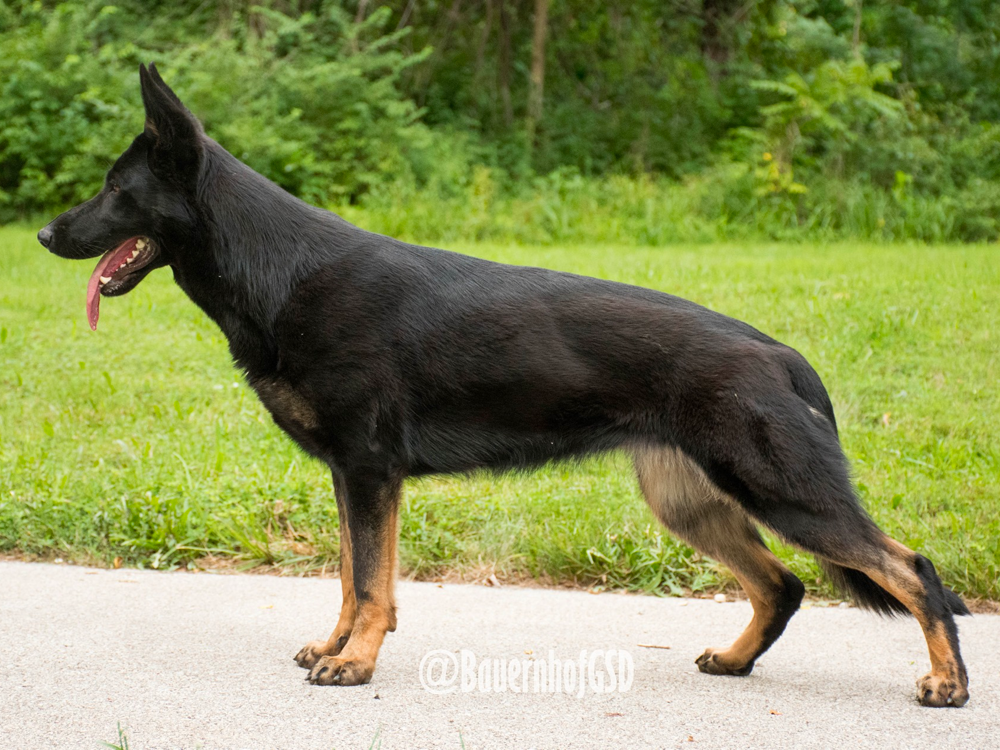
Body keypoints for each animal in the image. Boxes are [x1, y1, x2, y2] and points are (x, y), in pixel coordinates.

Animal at [39, 63, 968, 704]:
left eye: (114, 190)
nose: (46, 234)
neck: (278, 271)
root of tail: (776, 352)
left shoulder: (370, 472)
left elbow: (369, 580)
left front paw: (356, 663)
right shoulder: (352, 477)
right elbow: (352, 575)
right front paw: (338, 646)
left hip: (783, 493)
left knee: (911, 568)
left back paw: (947, 685)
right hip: (691, 503)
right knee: (784, 584)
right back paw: (737, 660)